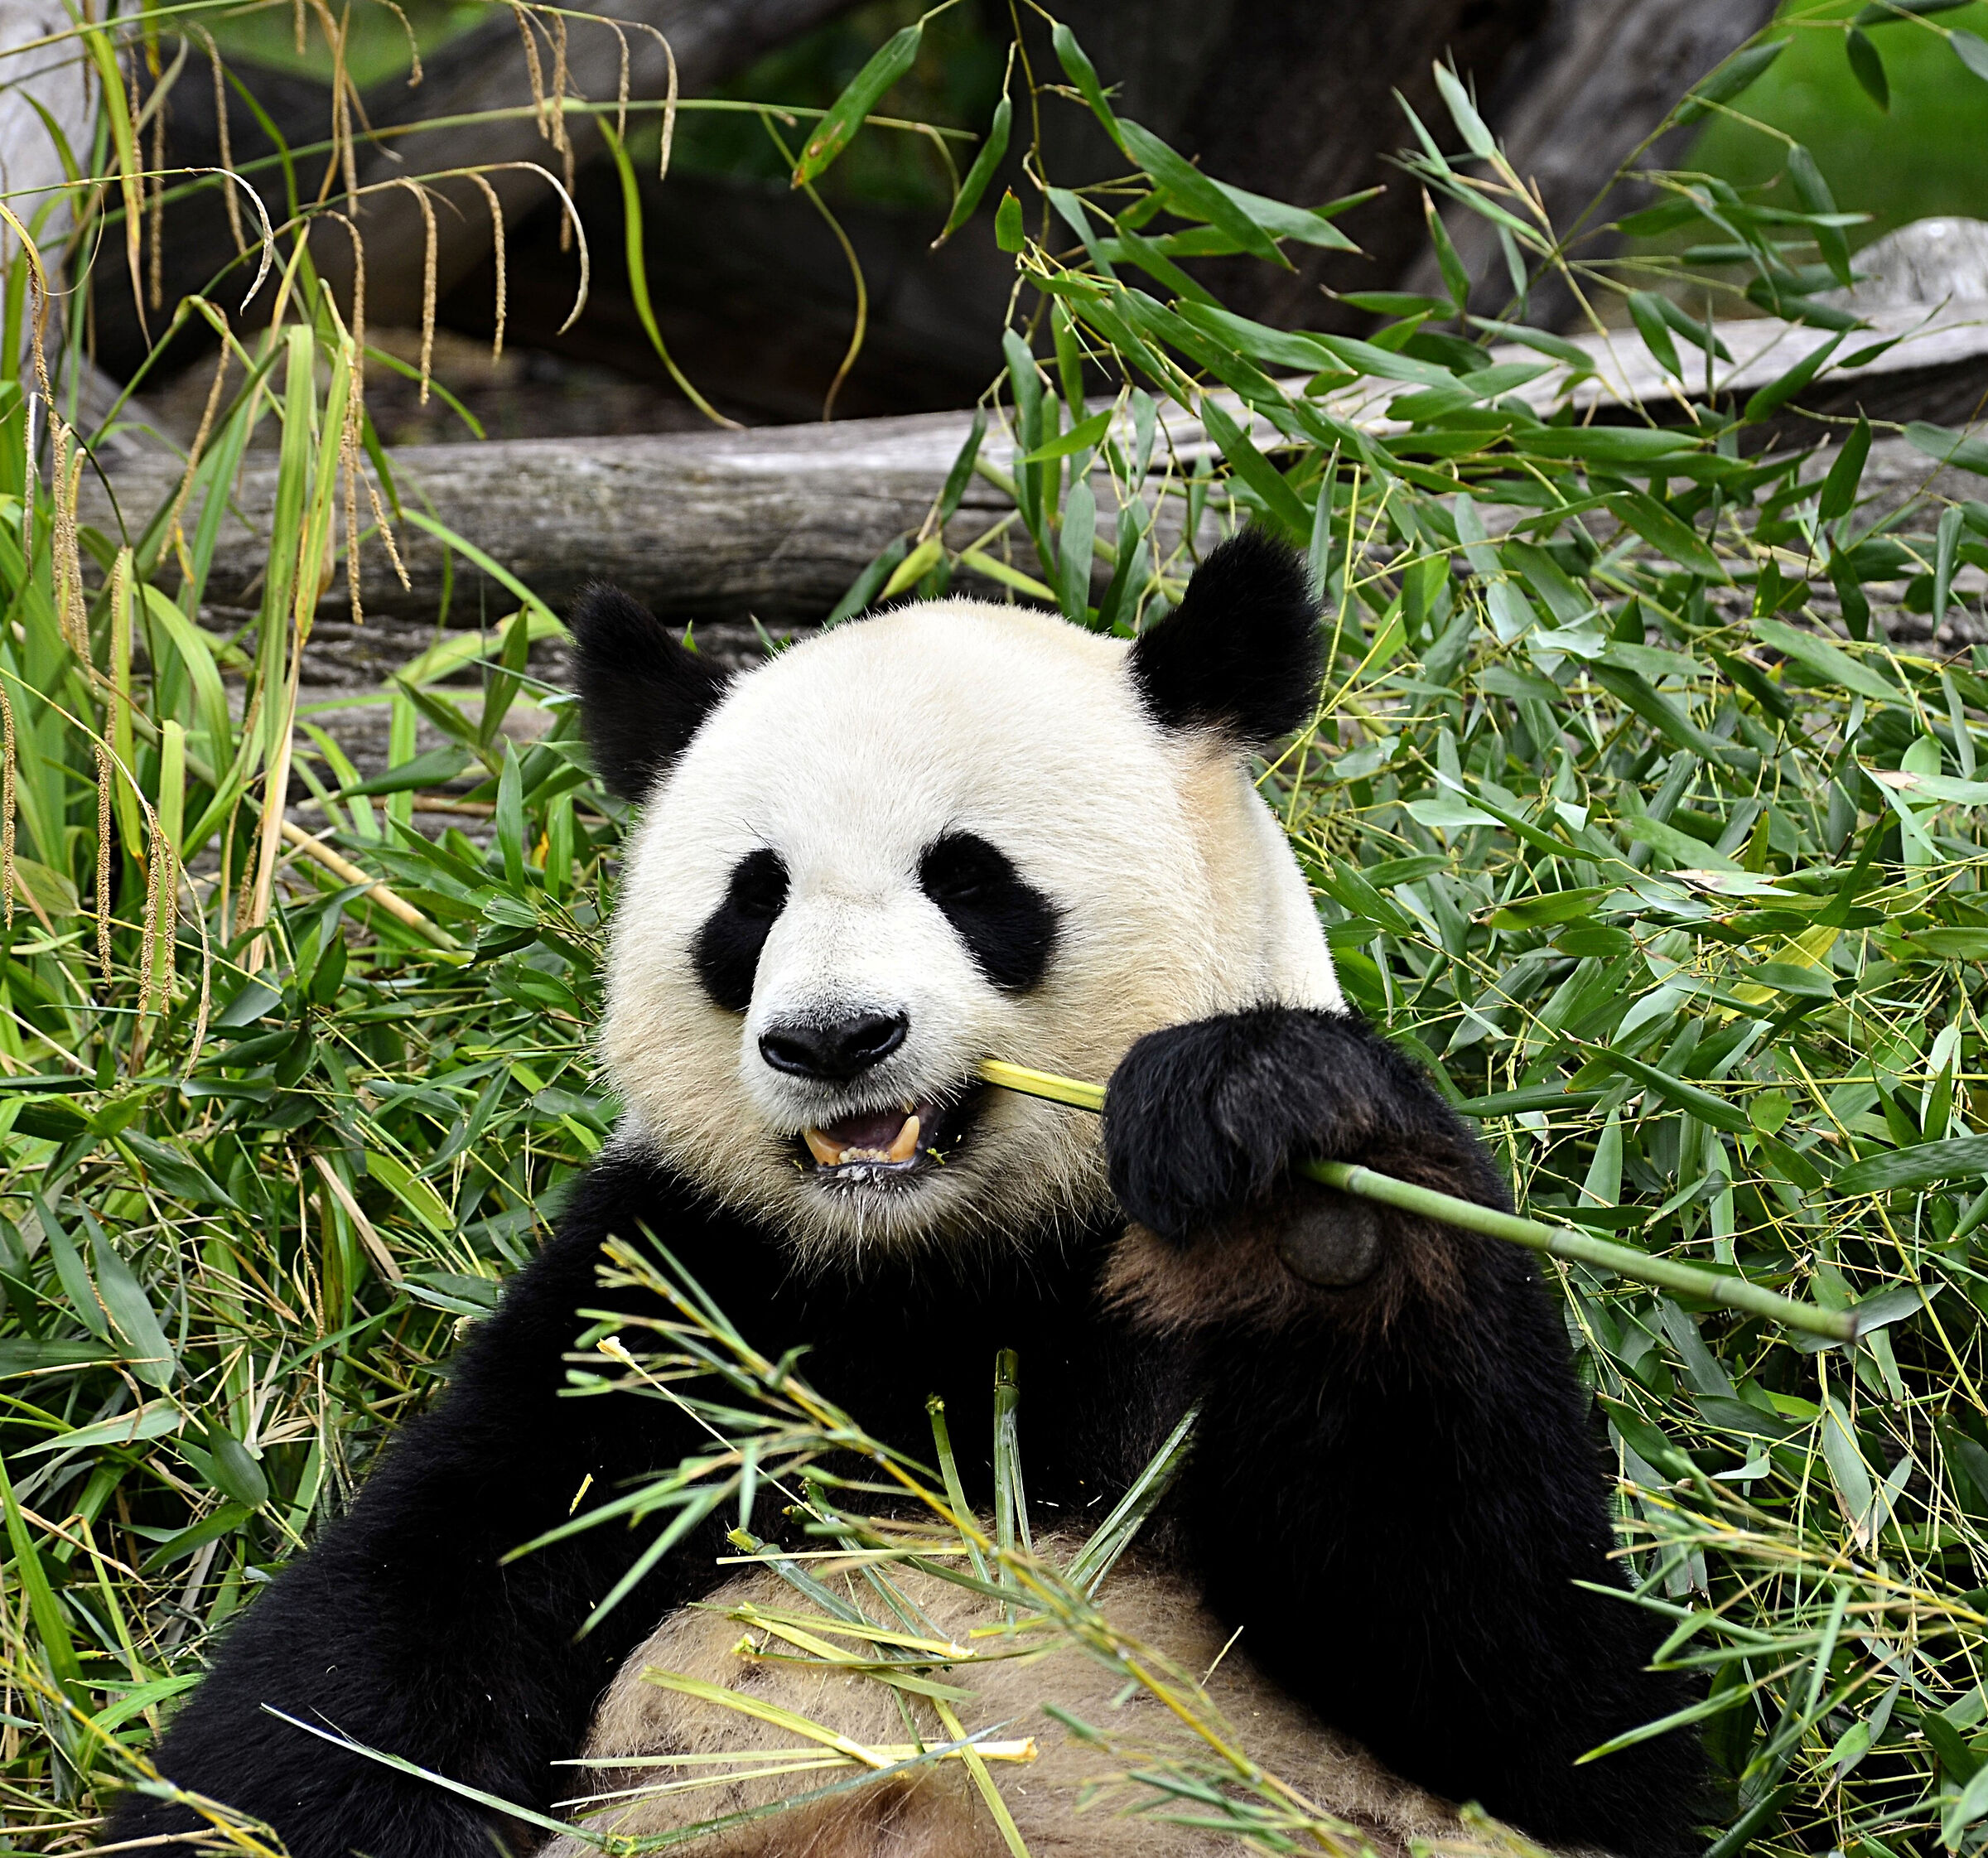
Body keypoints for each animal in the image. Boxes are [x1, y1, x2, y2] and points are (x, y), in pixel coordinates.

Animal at [113, 533, 1700, 1858]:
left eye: (972, 877)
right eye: (752, 898)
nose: (833, 1038)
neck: (943, 1255)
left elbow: (1540, 1701)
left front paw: (1295, 1187)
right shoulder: (673, 1298)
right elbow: (405, 1620)